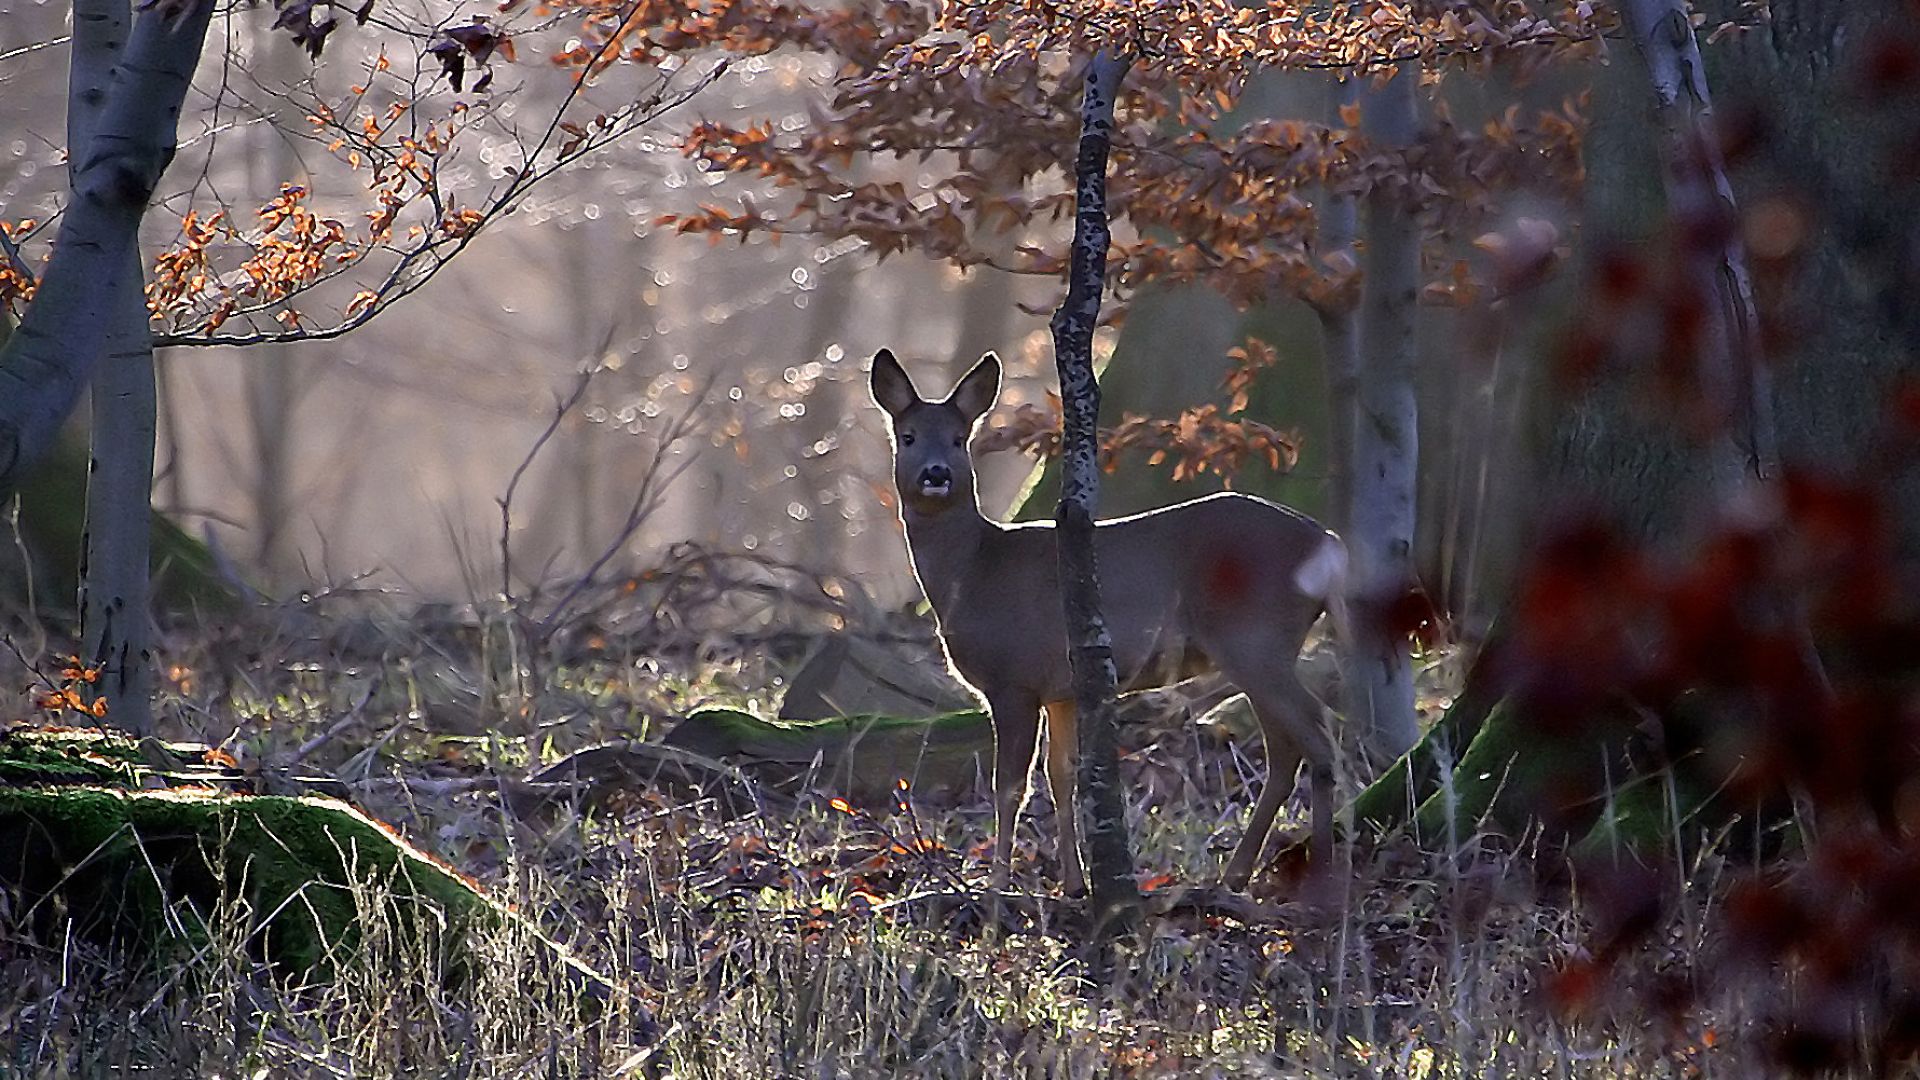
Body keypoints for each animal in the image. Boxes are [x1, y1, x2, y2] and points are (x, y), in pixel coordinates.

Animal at [875, 345, 1351, 891]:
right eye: (908, 436)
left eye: (959, 438)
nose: (936, 474)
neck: (973, 570)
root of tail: (1328, 543)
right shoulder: (1058, 688)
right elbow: (1060, 777)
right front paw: (1073, 883)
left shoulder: (1012, 679)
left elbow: (1010, 786)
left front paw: (996, 884)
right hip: (1264, 646)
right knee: (1287, 751)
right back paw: (1234, 876)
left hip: (1255, 637)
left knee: (1318, 736)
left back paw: (1320, 879)